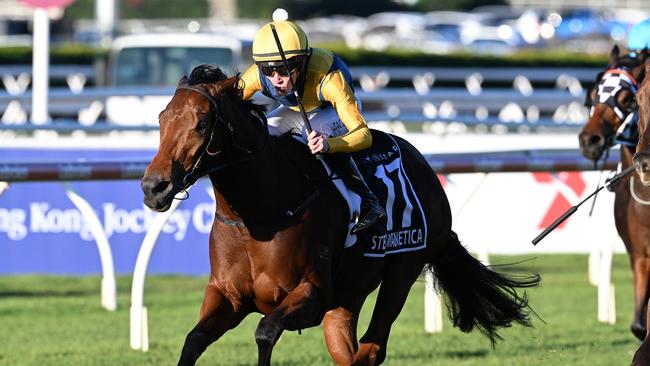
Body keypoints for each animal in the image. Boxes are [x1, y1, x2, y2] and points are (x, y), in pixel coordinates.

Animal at [142, 64, 536, 364]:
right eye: (161, 119)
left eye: (201, 123)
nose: (153, 187)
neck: (259, 215)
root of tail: (423, 165)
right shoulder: (228, 296)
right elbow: (193, 341)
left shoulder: (312, 294)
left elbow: (265, 332)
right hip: (349, 294)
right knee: (349, 351)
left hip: (403, 270)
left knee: (372, 348)